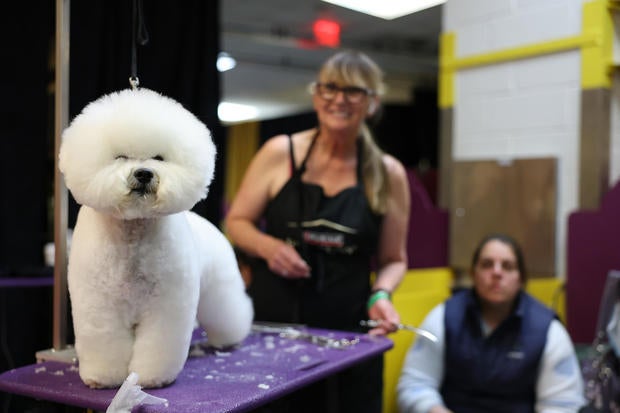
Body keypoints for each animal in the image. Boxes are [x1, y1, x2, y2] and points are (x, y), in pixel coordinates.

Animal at [57, 88, 252, 388]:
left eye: (159, 158)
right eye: (120, 157)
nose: (144, 174)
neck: (133, 234)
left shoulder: (165, 306)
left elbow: (158, 345)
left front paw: (151, 379)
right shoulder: (100, 307)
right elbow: (104, 343)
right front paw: (104, 378)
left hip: (219, 288)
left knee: (231, 312)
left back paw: (229, 339)